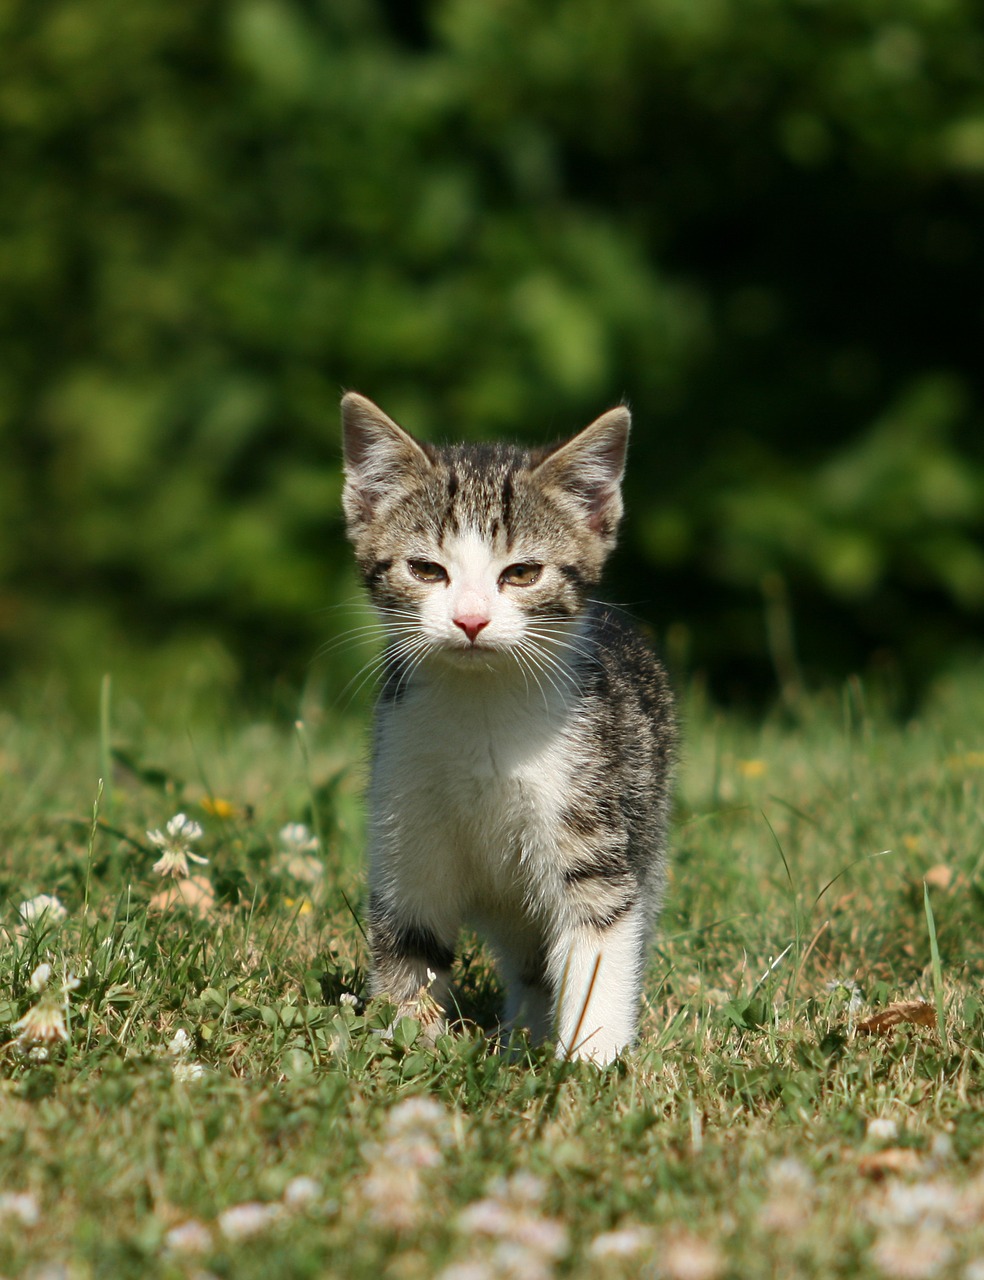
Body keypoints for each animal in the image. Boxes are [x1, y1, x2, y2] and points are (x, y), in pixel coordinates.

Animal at [340, 394, 675, 1064]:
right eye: (426, 570)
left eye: (521, 573)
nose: (471, 619)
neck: (481, 710)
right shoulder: (404, 826)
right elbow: (409, 939)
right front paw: (406, 1050)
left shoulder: (592, 818)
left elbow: (599, 944)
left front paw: (591, 1064)